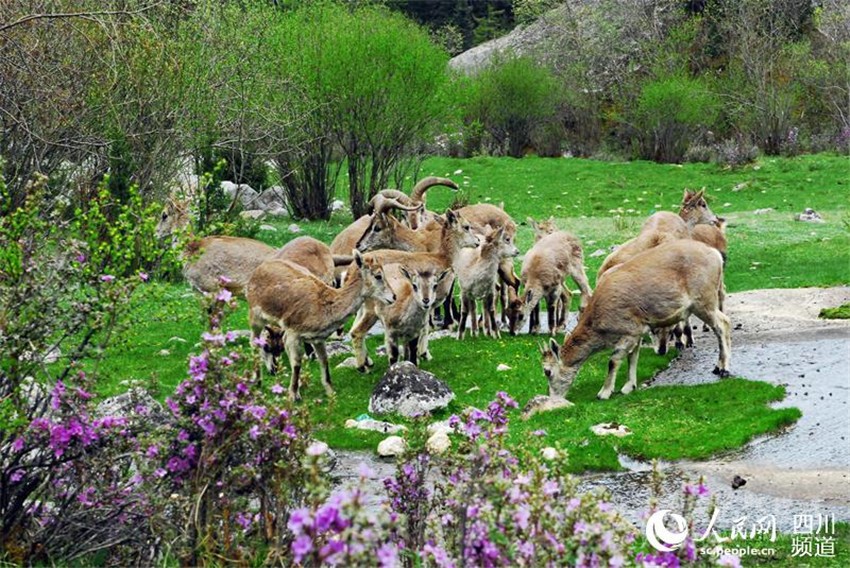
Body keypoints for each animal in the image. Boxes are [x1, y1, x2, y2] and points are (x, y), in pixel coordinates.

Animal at [246, 251, 396, 401]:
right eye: (378, 275)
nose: (394, 296)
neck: (322, 309)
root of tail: (257, 271)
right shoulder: (293, 332)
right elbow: (297, 362)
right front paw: (294, 395)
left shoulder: (318, 338)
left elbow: (324, 360)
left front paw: (331, 392)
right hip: (255, 315)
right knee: (253, 341)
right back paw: (257, 380)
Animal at [540, 239, 731, 402]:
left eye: (547, 371)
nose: (552, 398)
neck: (601, 325)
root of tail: (716, 256)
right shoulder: (638, 330)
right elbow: (633, 356)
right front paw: (629, 386)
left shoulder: (629, 329)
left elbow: (614, 360)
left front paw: (604, 392)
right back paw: (717, 366)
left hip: (704, 300)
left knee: (723, 324)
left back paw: (724, 369)